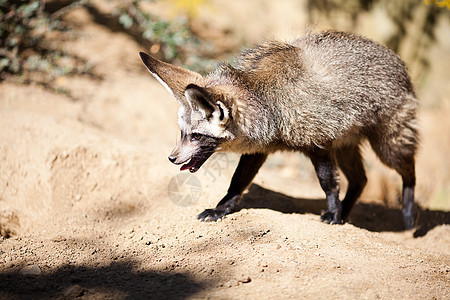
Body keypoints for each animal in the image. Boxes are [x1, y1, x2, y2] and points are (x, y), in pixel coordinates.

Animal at [140, 29, 418, 230]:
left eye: (196, 136)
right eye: (181, 133)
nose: (171, 158)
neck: (269, 102)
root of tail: (398, 60)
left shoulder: (318, 144)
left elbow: (328, 183)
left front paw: (332, 213)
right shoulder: (258, 150)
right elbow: (237, 182)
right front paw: (221, 209)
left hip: (387, 147)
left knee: (408, 171)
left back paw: (408, 214)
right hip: (346, 146)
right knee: (361, 180)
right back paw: (346, 215)